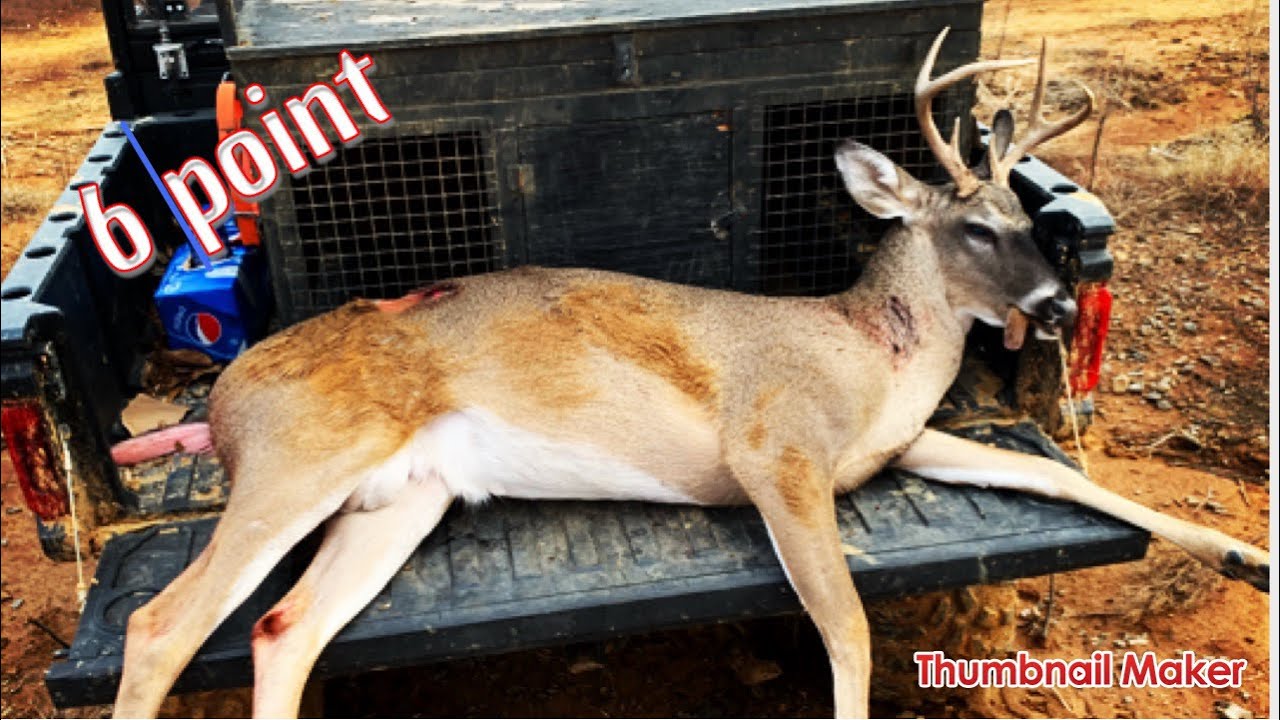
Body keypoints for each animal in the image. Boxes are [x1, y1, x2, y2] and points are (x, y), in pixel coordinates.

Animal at [110, 28, 1269, 719]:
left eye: (1033, 221)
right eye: (978, 228)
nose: (1060, 305)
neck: (869, 358)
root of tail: (220, 394)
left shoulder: (896, 446)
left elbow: (1048, 474)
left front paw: (1243, 554)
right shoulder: (774, 448)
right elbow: (844, 623)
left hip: (404, 497)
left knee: (281, 631)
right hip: (302, 457)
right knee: (160, 624)